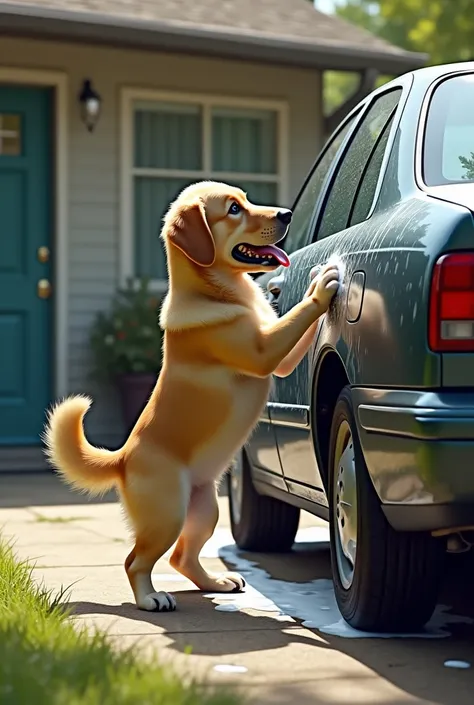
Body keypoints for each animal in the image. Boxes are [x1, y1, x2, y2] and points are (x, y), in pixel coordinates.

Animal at [44, 180, 338, 612]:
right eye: (233, 209)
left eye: (246, 199)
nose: (285, 214)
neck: (217, 293)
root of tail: (123, 459)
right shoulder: (264, 352)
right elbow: (297, 315)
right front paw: (321, 287)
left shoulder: (279, 359)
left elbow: (297, 329)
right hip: (168, 515)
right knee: (136, 560)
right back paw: (151, 598)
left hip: (205, 509)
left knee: (182, 557)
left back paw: (215, 583)